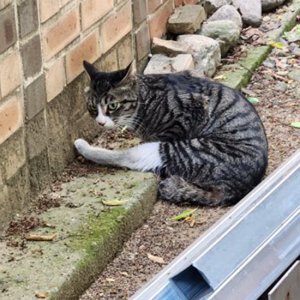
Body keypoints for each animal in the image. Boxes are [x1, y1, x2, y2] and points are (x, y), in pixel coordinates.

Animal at [74, 61, 268, 206]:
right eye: (92, 107)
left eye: (112, 106)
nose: (100, 122)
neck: (146, 101)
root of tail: (237, 189)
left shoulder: (191, 110)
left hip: (181, 150)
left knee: (127, 157)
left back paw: (82, 146)